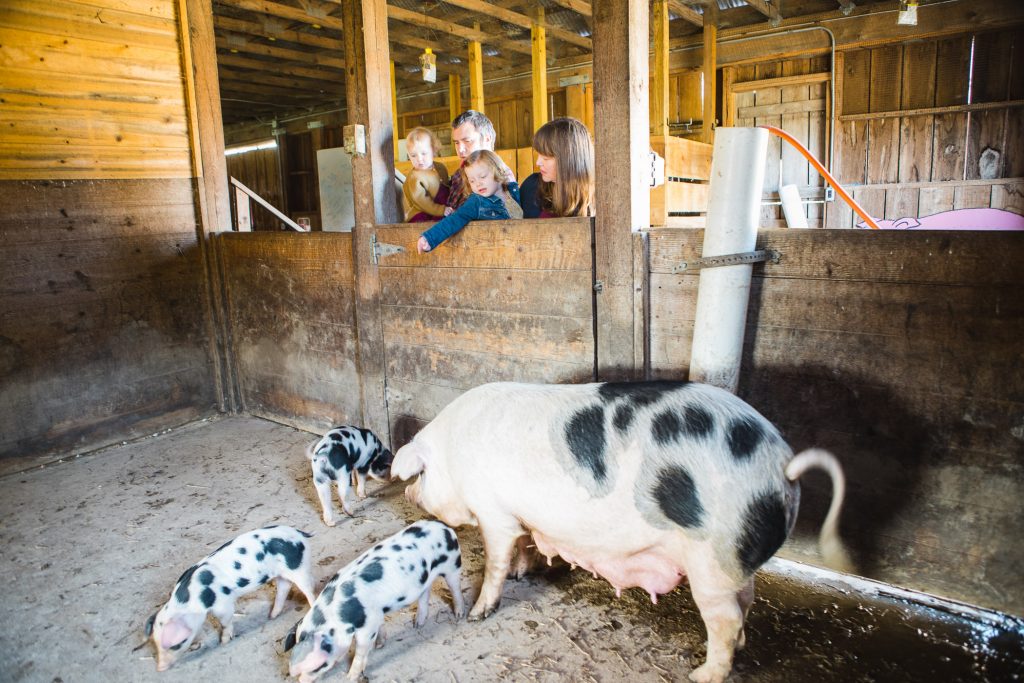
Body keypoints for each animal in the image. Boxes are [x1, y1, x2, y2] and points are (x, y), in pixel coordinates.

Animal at [142, 528, 313, 671]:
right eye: (155, 642)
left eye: (176, 645)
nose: (160, 668)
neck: (193, 600)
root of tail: (299, 534)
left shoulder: (223, 604)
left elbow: (225, 622)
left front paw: (224, 642)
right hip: (282, 574)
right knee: (284, 587)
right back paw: (271, 616)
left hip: (299, 569)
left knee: (308, 588)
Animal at [284, 520, 468, 679]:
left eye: (319, 666)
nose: (301, 680)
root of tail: (443, 526)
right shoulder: (376, 615)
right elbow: (380, 627)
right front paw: (380, 644)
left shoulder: (367, 626)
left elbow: (361, 652)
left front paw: (350, 677)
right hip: (424, 580)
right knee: (425, 594)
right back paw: (418, 624)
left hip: (452, 565)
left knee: (456, 589)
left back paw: (459, 615)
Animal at [391, 382, 856, 679]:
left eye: (421, 475)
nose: (408, 492)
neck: (452, 454)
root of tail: (783, 463)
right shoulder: (522, 518)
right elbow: (526, 544)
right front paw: (526, 572)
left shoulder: (494, 513)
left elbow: (496, 560)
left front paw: (476, 613)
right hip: (735, 559)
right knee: (746, 601)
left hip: (712, 557)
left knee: (724, 618)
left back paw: (701, 674)